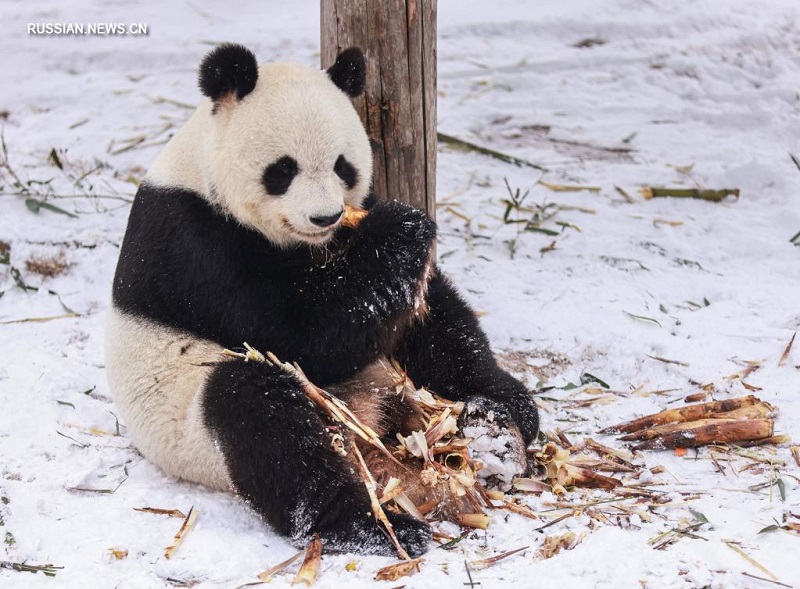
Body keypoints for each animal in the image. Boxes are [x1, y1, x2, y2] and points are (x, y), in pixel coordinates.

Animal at [104, 44, 536, 556]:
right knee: (265, 423)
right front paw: (401, 230)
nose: (325, 216)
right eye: (282, 170)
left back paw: (490, 437)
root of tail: (363, 418)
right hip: (191, 425)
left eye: (342, 166)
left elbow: (425, 317)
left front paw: (504, 404)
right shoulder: (195, 244)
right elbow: (301, 333)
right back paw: (370, 526)